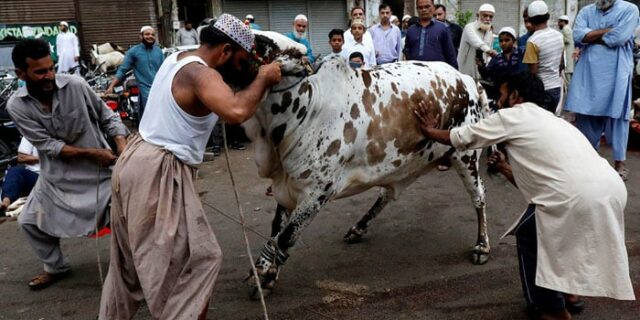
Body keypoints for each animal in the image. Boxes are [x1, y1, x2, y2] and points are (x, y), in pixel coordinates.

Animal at [240, 31, 490, 296]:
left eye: (262, 43)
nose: (214, 28)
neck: (308, 106)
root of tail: (467, 80)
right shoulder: (288, 186)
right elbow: (276, 229)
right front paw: (264, 271)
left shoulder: (317, 192)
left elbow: (286, 236)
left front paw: (267, 276)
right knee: (386, 194)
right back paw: (358, 228)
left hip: (465, 155)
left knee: (479, 196)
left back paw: (482, 246)